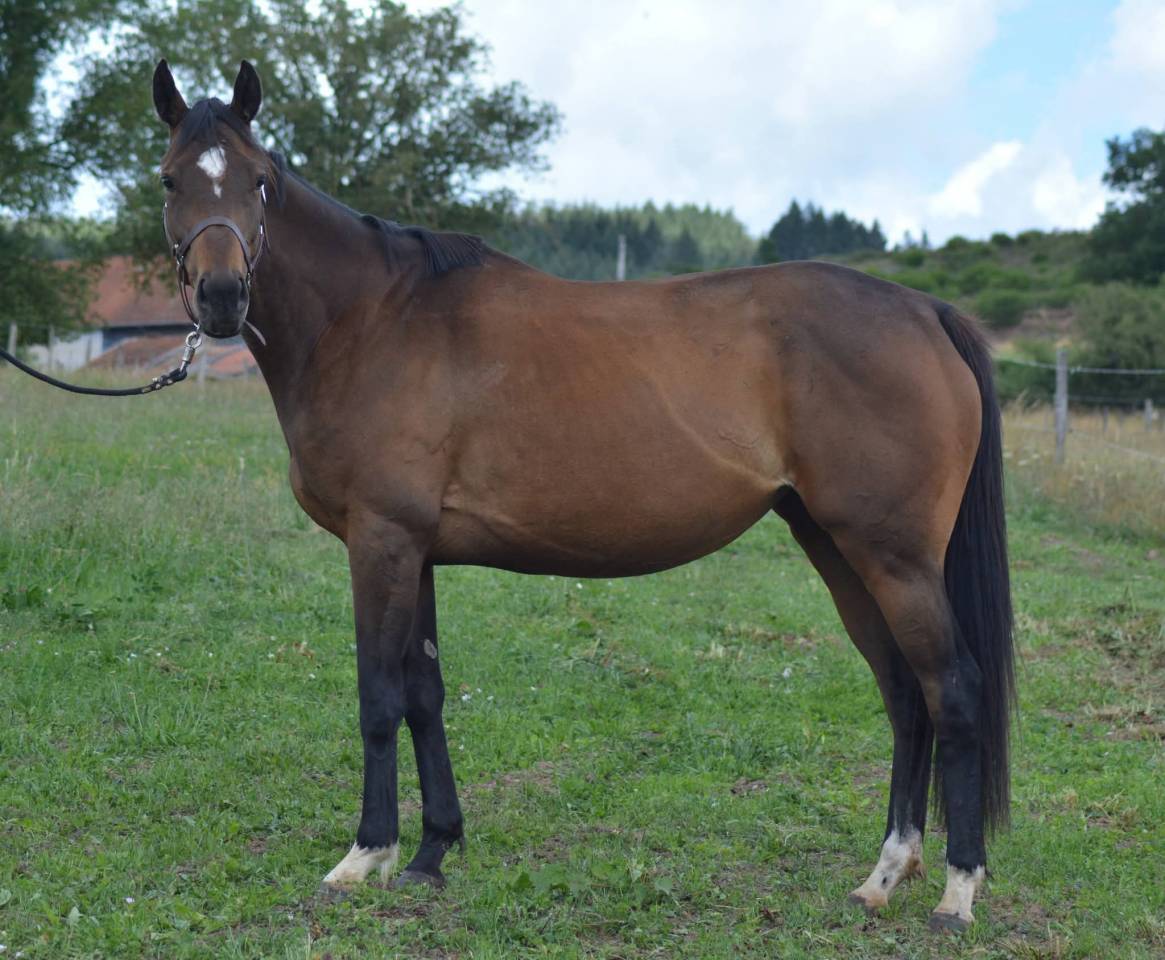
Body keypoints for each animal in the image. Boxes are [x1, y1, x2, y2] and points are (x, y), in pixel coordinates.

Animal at [150, 59, 1014, 932]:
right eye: (169, 179)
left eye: (259, 181)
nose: (220, 295)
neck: (371, 320)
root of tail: (924, 310)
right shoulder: (414, 550)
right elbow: (424, 695)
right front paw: (431, 852)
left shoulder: (381, 541)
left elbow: (379, 696)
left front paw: (366, 855)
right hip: (836, 547)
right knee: (904, 691)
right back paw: (885, 873)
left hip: (892, 557)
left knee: (952, 690)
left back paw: (956, 888)